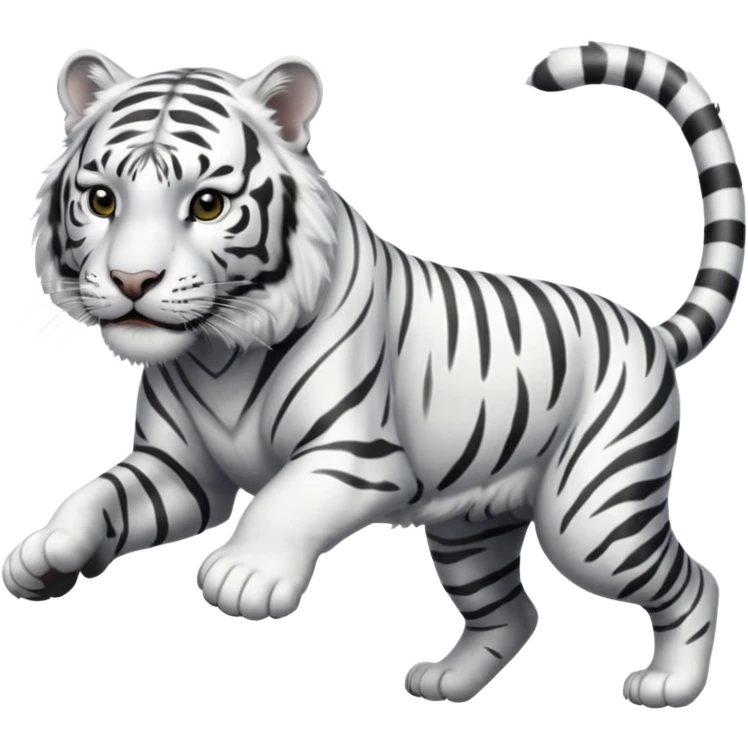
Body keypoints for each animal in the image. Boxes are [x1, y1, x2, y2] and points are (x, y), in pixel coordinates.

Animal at [6, 42, 744, 710]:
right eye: (103, 201)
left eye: (209, 205)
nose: (132, 280)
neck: (216, 352)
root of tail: (649, 330)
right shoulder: (181, 473)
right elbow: (99, 494)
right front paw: (44, 552)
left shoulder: (354, 455)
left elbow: (284, 500)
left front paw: (245, 574)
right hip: (471, 527)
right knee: (511, 612)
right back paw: (447, 683)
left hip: (592, 518)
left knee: (695, 583)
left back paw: (670, 685)